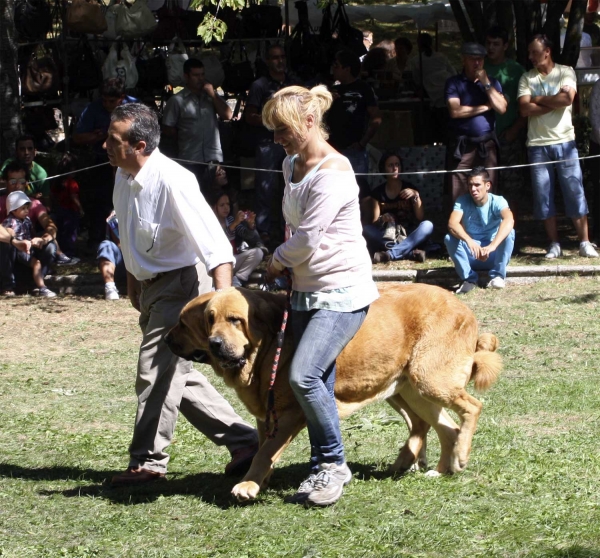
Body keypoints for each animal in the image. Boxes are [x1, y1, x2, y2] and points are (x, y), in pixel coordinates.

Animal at [164, 282, 502, 506]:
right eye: (208, 320)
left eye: (235, 320)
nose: (166, 338)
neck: (268, 345)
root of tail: (465, 309)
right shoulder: (266, 415)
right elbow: (263, 448)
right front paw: (261, 479)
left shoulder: (290, 414)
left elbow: (264, 452)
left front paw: (248, 484)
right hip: (411, 390)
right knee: (445, 427)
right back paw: (442, 469)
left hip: (429, 380)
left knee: (472, 407)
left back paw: (459, 456)